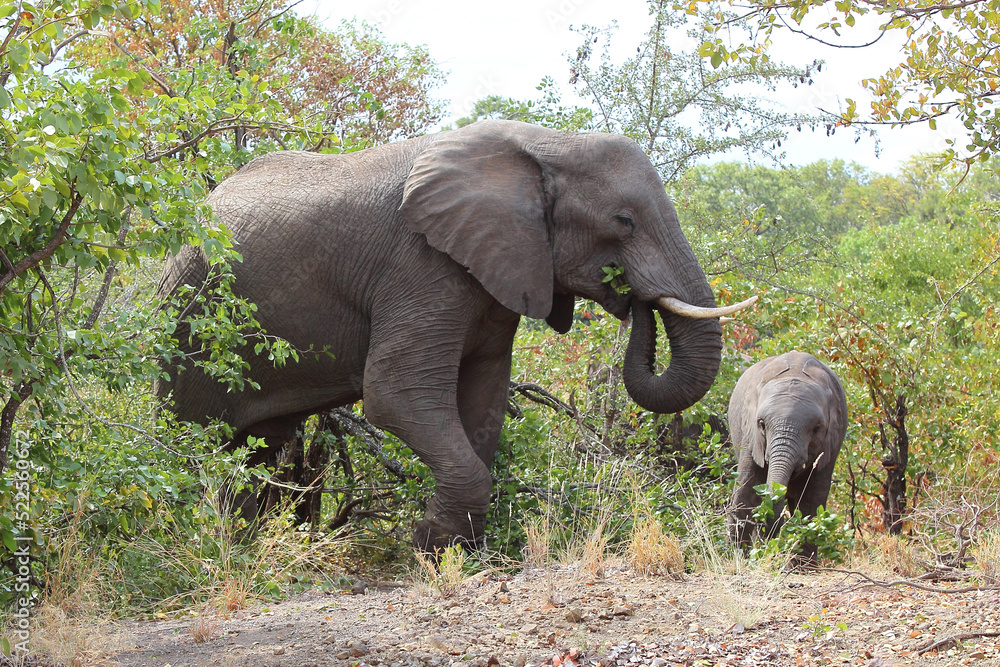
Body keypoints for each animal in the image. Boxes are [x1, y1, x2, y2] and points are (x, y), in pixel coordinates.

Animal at [155, 119, 754, 552]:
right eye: (623, 221)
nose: (632, 297)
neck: (546, 145)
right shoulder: (421, 264)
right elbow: (395, 393)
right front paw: (429, 547)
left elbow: (484, 397)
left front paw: (460, 548)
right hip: (188, 319)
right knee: (193, 441)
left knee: (258, 447)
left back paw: (242, 541)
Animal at [727, 351, 847, 562]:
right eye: (761, 424)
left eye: (816, 429)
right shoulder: (751, 437)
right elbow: (745, 493)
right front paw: (736, 560)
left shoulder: (830, 444)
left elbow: (811, 502)